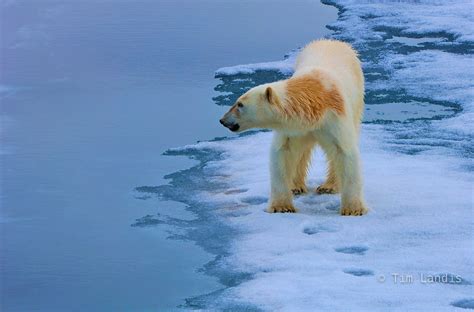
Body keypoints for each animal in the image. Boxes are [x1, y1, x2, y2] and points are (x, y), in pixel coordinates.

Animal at [220, 39, 368, 216]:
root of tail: (333, 41)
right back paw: (296, 186)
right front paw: (282, 206)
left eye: (240, 104)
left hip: (357, 98)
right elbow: (284, 152)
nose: (223, 120)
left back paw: (328, 186)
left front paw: (353, 209)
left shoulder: (334, 118)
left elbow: (343, 151)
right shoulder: (292, 127)